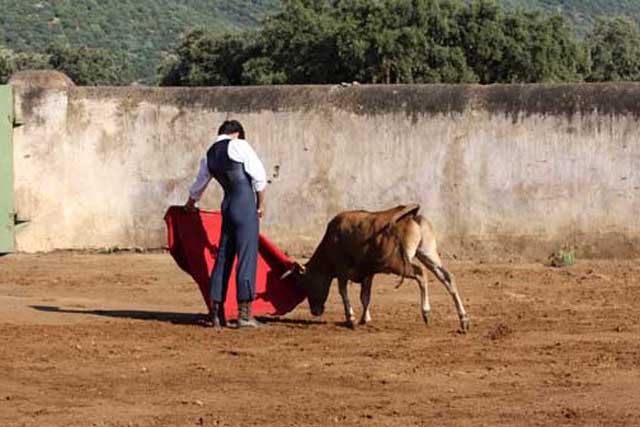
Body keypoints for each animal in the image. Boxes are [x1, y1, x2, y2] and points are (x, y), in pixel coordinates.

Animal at [284, 206, 470, 332]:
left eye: (306, 284)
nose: (315, 311)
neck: (331, 241)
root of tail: (412, 216)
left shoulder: (342, 271)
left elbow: (344, 292)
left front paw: (351, 319)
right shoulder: (368, 273)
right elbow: (365, 296)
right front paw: (364, 319)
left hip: (399, 264)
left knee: (420, 273)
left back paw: (426, 312)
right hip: (428, 253)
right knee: (447, 277)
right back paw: (463, 319)